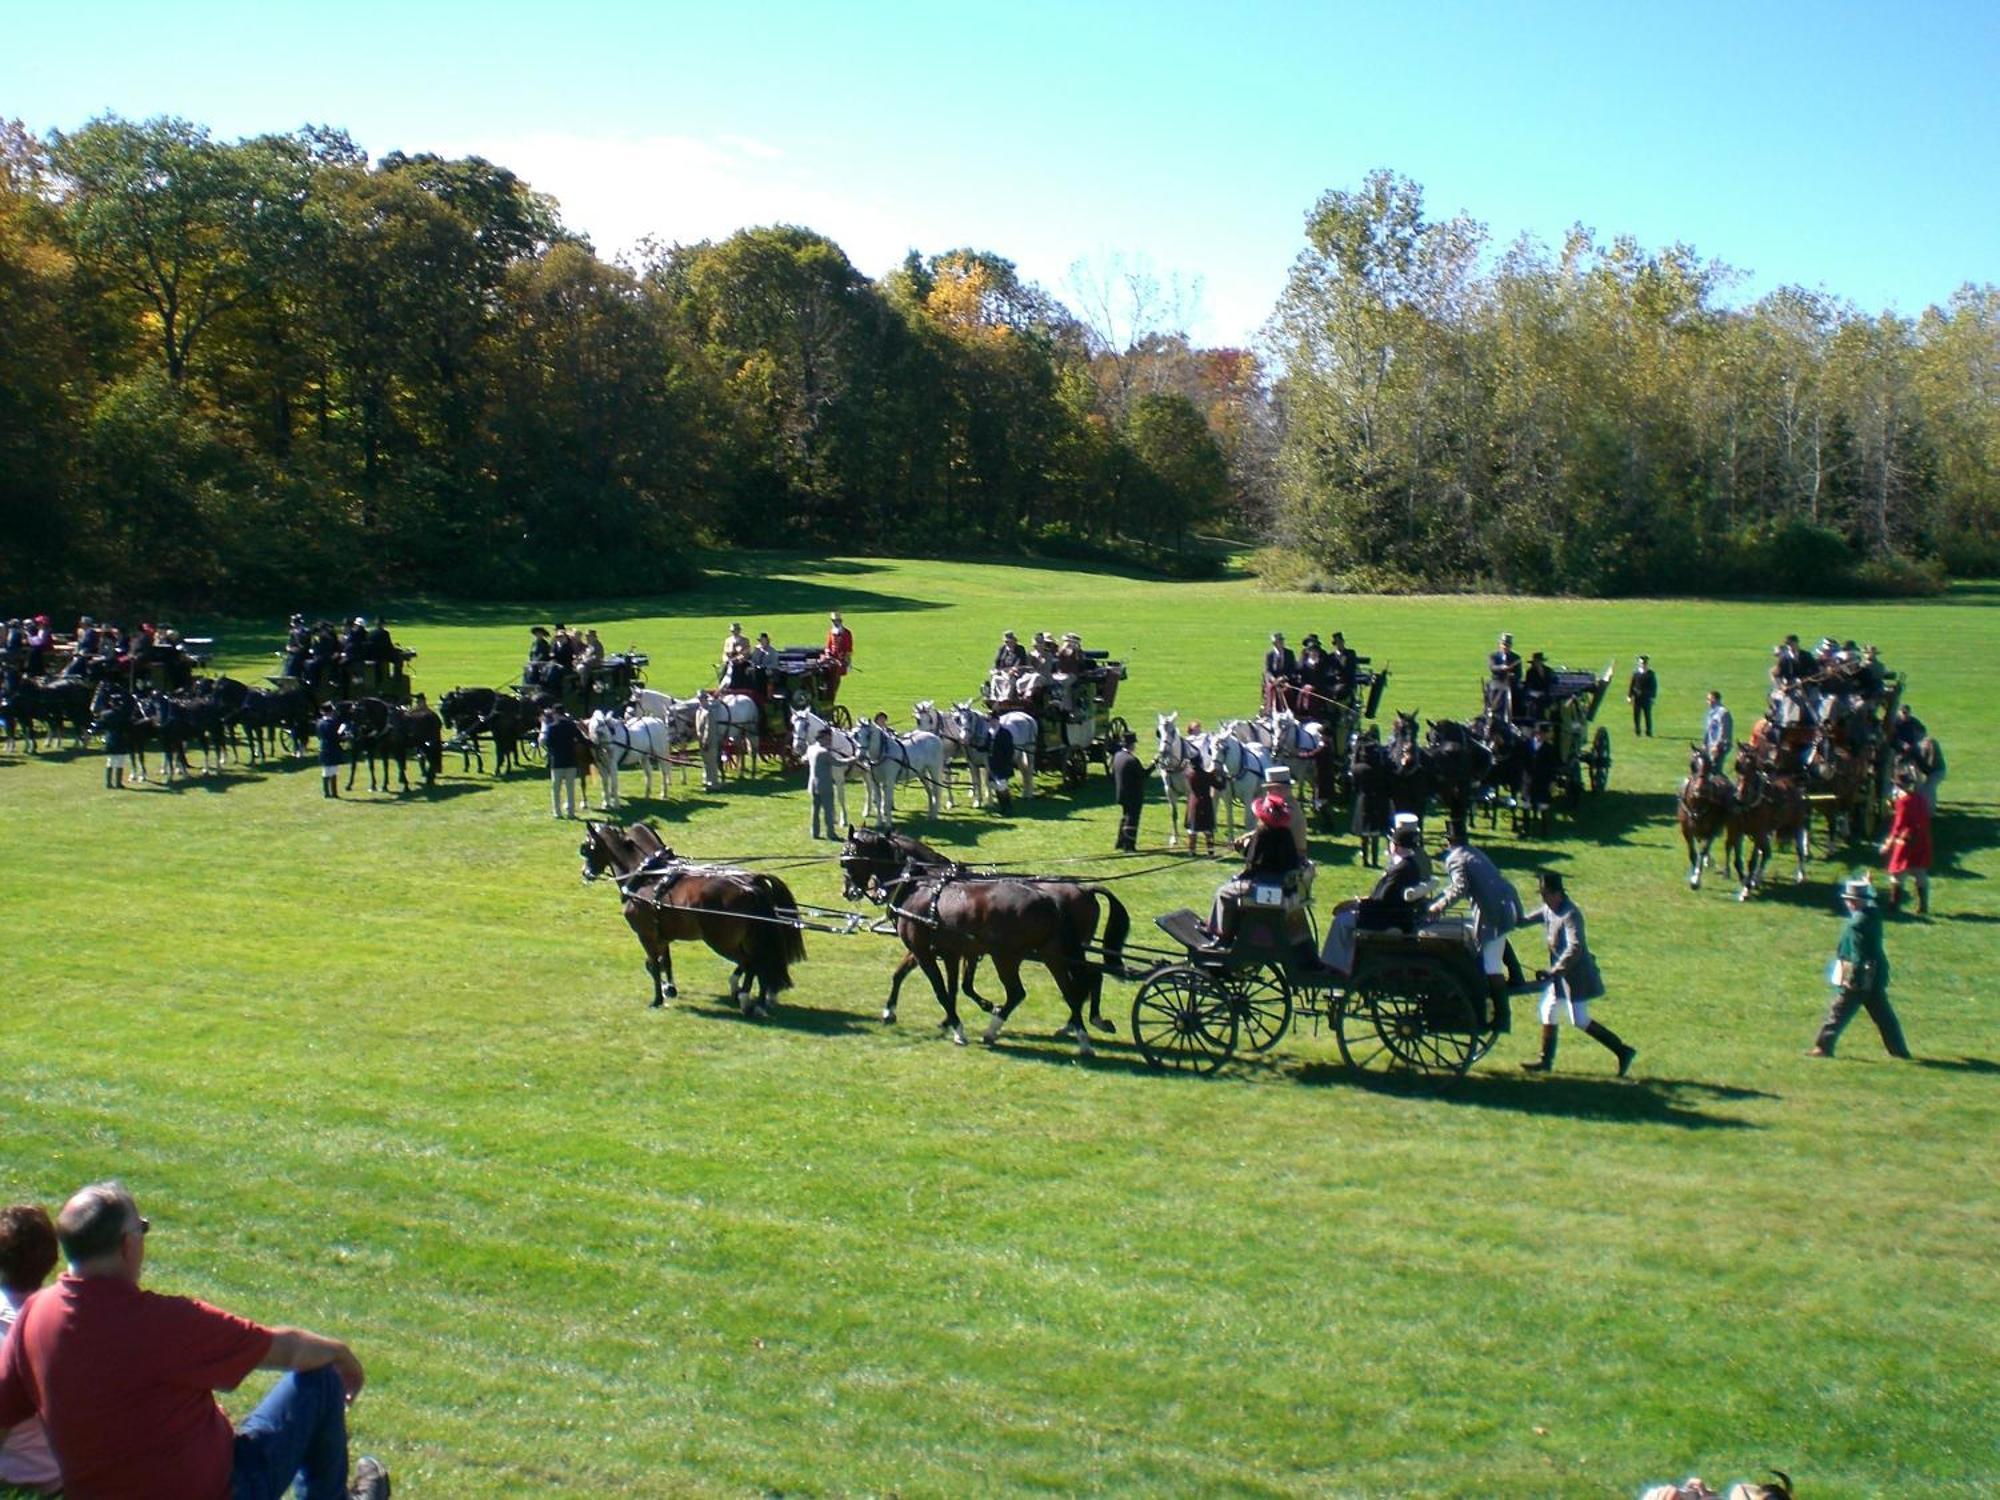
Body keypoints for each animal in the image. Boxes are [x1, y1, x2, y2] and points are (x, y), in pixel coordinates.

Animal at [580, 824, 804, 1024]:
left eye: (587, 848)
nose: (585, 873)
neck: (647, 876)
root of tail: (750, 887)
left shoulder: (646, 935)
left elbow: (654, 965)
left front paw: (658, 998)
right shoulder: (662, 936)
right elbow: (666, 962)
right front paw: (669, 988)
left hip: (721, 941)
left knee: (752, 963)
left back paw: (745, 999)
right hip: (750, 939)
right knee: (761, 963)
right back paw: (759, 1001)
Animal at [792, 704, 864, 836]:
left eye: (806, 725)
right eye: (793, 725)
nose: (798, 747)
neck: (831, 745)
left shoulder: (839, 778)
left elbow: (840, 797)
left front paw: (843, 820)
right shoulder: (830, 778)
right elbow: (831, 796)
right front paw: (833, 817)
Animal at [840, 828, 1136, 1048]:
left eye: (846, 858)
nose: (848, 892)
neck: (920, 885)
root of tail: (1082, 889)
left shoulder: (926, 950)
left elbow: (942, 989)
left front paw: (960, 1025)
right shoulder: (951, 952)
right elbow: (939, 984)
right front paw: (905, 1014)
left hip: (1011, 956)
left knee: (1033, 990)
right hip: (1055, 954)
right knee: (1077, 986)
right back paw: (1079, 1032)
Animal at [1672, 744, 1736, 888]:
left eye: (1710, 765)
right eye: (1693, 764)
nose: (1700, 790)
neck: (1697, 805)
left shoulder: (1711, 830)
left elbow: (1702, 851)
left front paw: (1696, 879)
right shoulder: (1686, 831)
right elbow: (1693, 853)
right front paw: (1693, 874)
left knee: (1728, 845)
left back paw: (1726, 871)